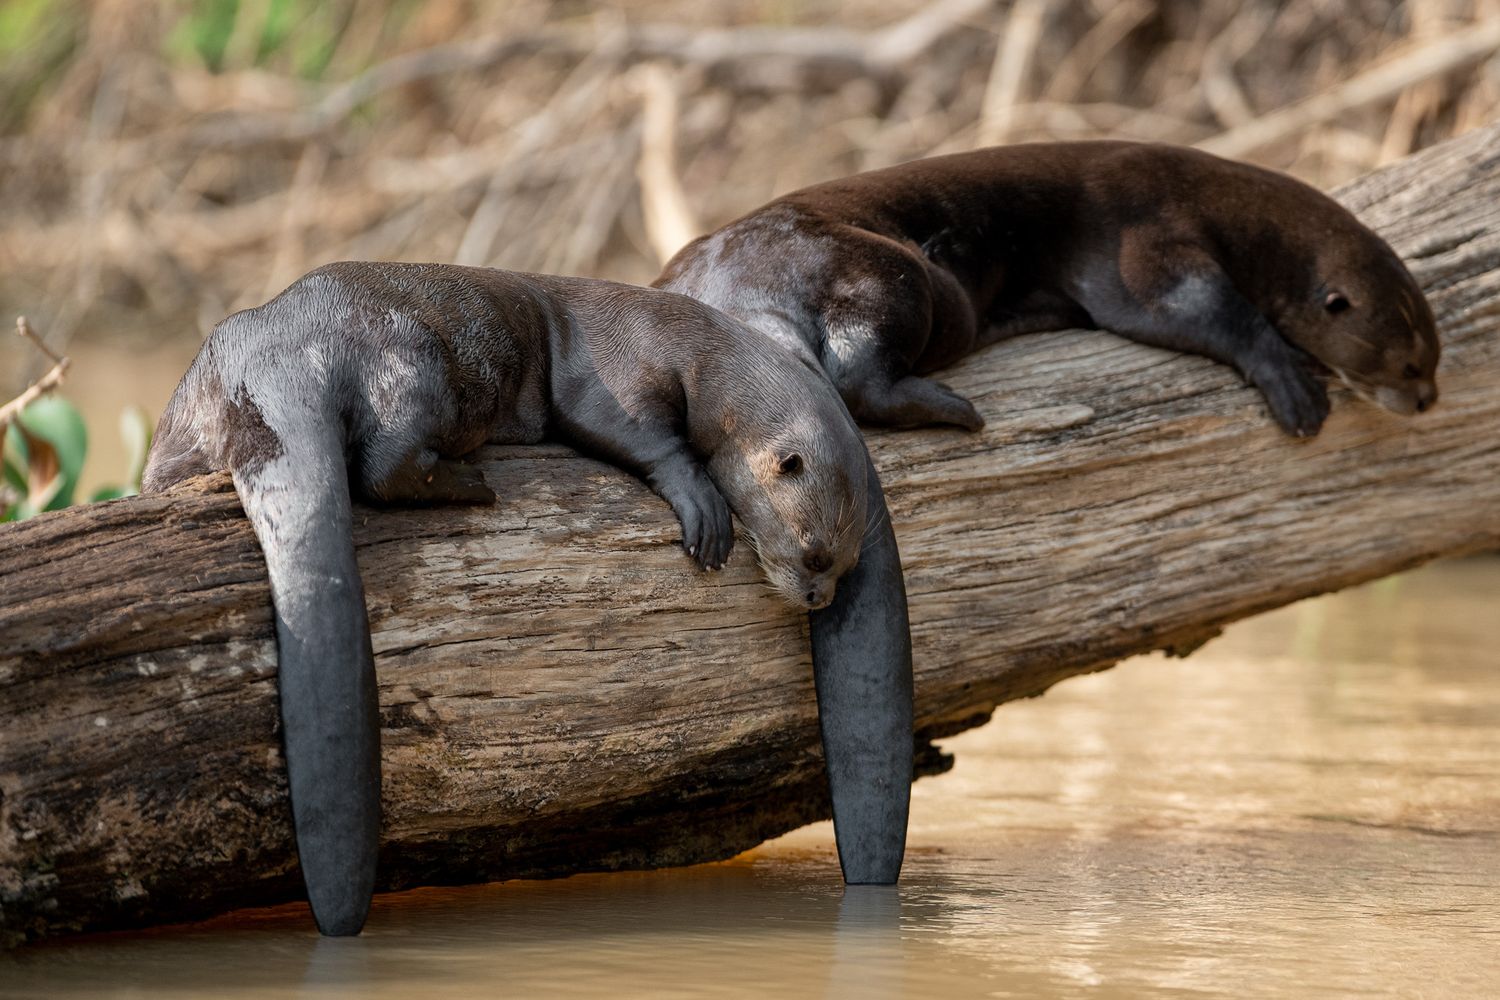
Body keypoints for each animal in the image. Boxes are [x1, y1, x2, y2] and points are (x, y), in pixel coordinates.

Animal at [143, 262, 913, 935]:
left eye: (845, 564)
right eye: (815, 554)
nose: (817, 596)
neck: (701, 352)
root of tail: (273, 358)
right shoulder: (615, 373)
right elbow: (631, 432)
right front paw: (703, 506)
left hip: (187, 409)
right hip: (417, 360)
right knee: (386, 463)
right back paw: (473, 484)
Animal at [656, 140, 1440, 437]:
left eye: (1431, 359)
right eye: (1409, 365)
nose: (1429, 398)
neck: (1236, 215)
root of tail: (733, 296)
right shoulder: (1145, 234)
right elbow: (1194, 307)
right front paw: (1293, 382)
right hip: (888, 272)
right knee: (860, 378)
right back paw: (959, 411)